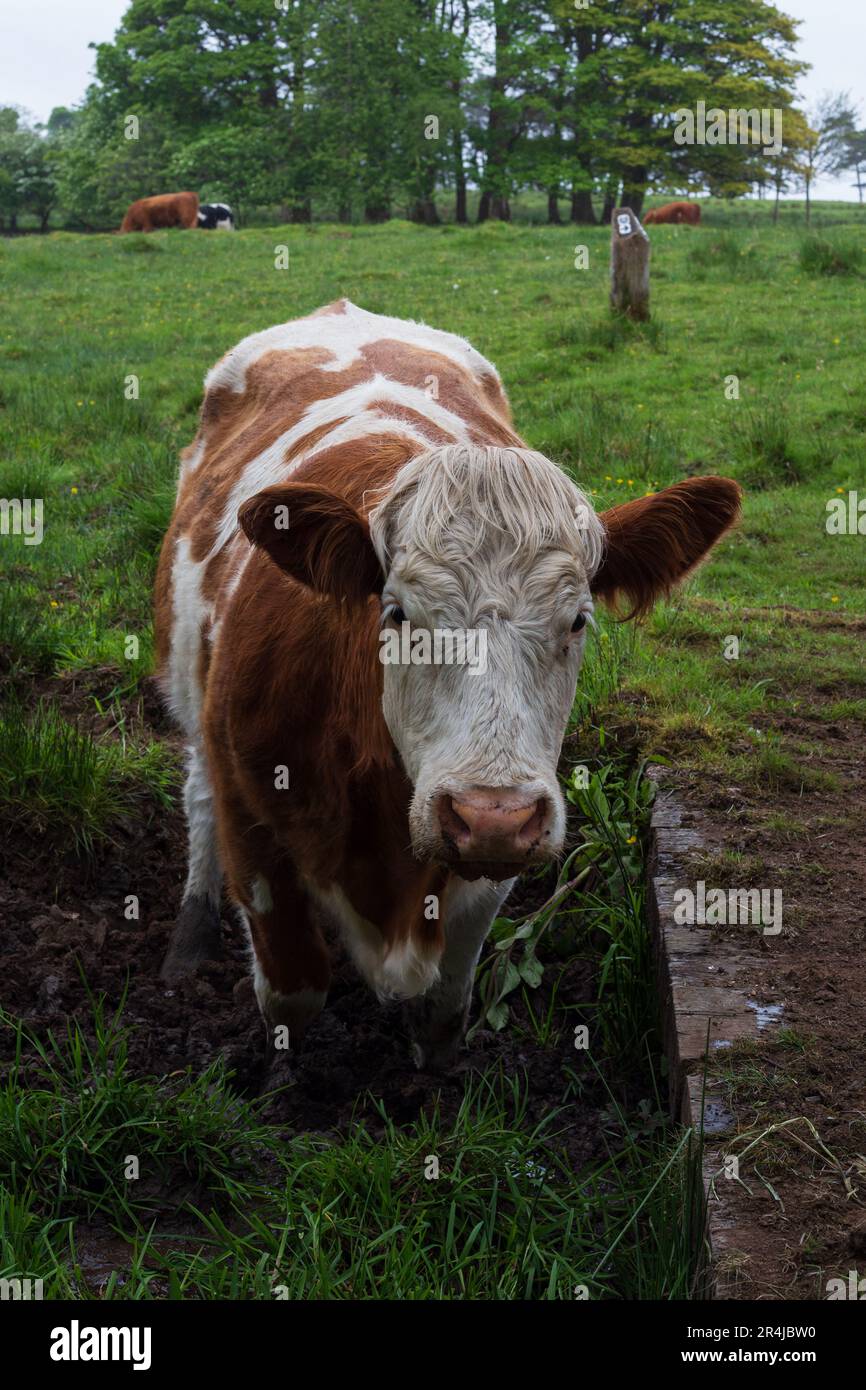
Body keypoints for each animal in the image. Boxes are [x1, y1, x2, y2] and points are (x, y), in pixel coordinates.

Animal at [154, 298, 739, 1067]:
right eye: (398, 613)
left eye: (579, 620)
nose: (491, 814)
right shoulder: (253, 824)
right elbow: (291, 994)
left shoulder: (501, 857)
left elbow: (443, 1008)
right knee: (194, 791)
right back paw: (190, 932)